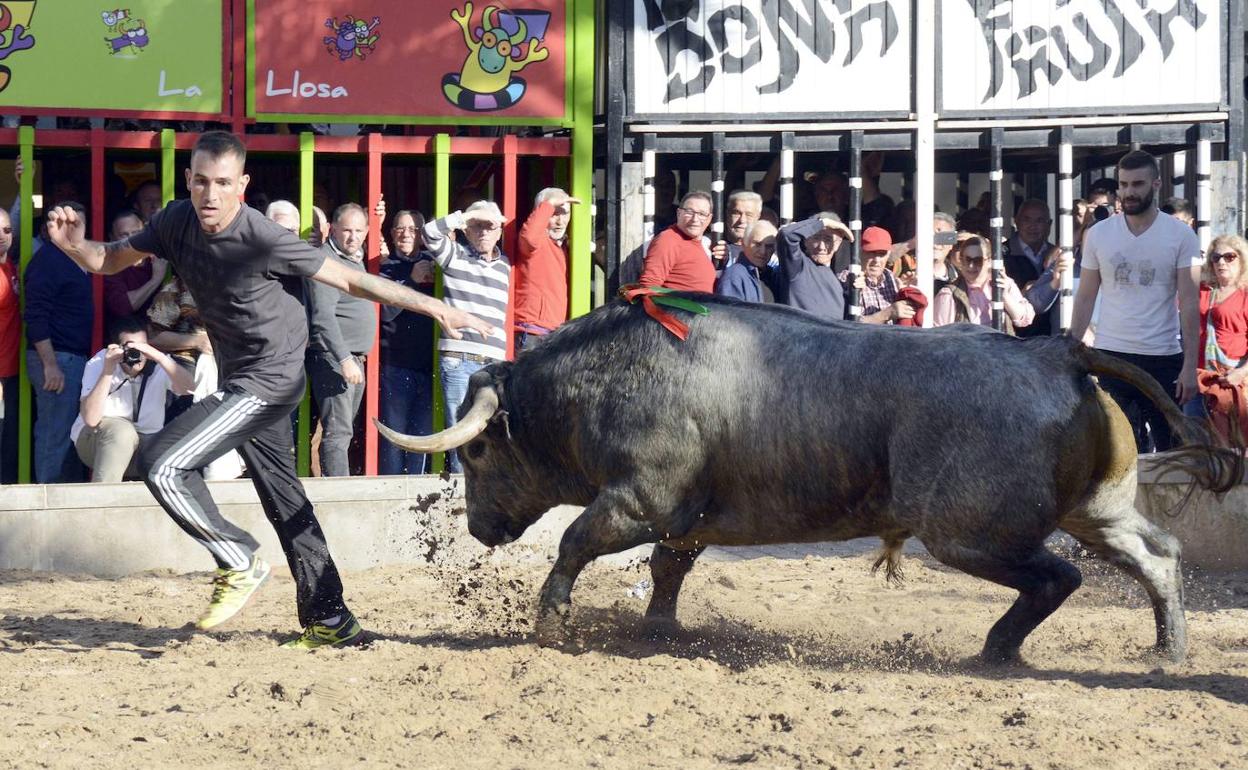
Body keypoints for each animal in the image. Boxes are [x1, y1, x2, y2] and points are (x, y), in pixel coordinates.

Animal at [376, 294, 1238, 658]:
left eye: (475, 453)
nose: (479, 526)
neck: (611, 370)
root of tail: (1056, 352)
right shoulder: (688, 517)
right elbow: (668, 568)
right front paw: (659, 628)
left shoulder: (638, 499)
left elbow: (575, 545)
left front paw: (551, 623)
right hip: (1098, 509)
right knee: (1156, 555)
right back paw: (1167, 651)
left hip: (968, 535)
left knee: (1058, 577)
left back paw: (995, 647)